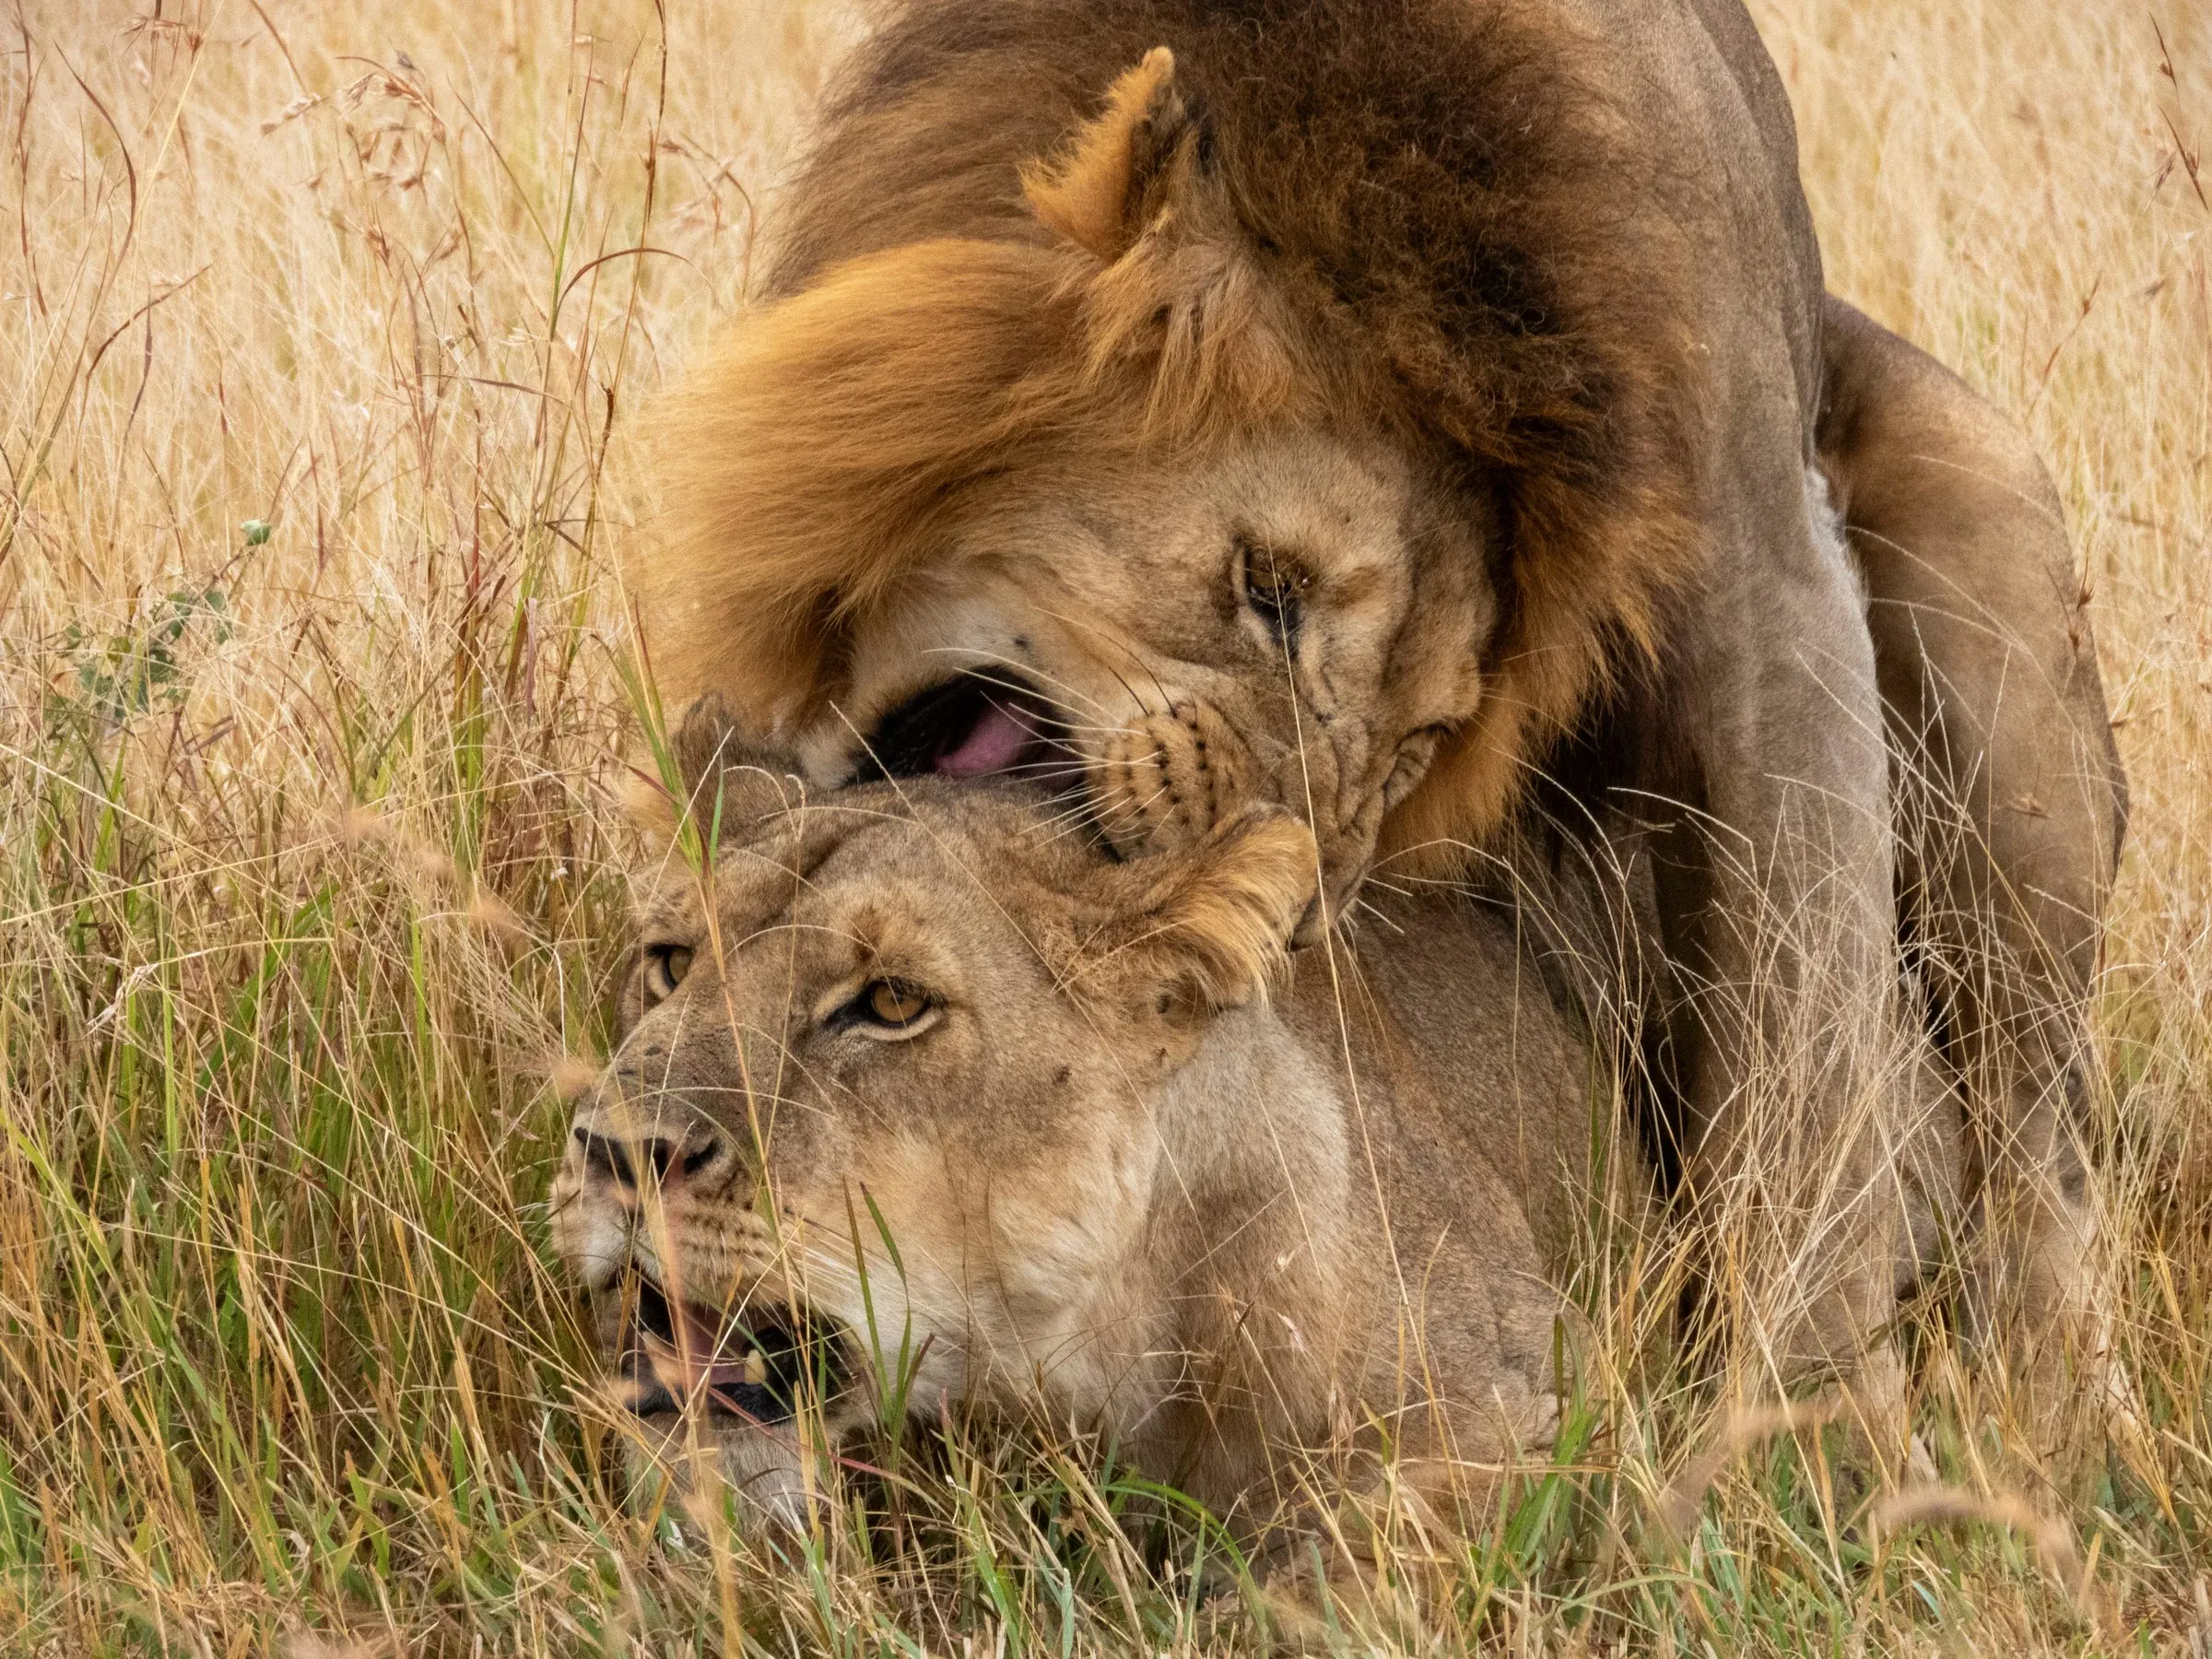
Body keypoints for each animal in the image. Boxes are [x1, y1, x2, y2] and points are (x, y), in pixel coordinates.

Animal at [639, 0, 2124, 1435]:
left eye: (1420, 741)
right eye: (1268, 591)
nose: (1294, 918)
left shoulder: (1773, 588)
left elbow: (1806, 1062)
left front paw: (1813, 1441)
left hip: (1992, 608)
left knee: (2035, 1143)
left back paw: (2038, 1411)